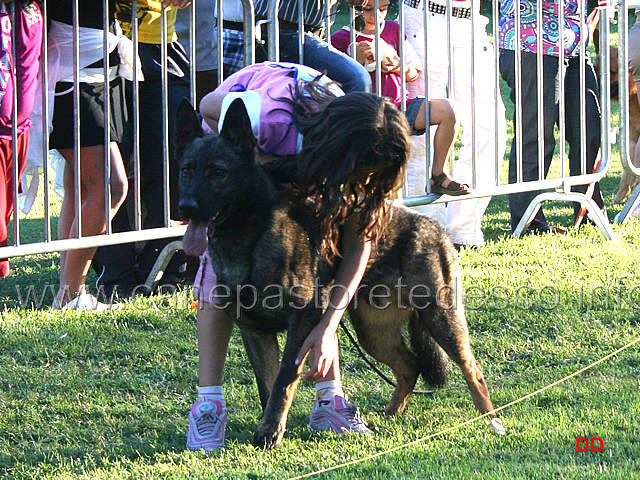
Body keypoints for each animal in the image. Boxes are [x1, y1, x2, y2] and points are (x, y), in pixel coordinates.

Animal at [176, 98, 504, 450]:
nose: (185, 207)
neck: (250, 234)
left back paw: (491, 421)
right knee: (410, 366)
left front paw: (272, 430)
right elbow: (267, 385)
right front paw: (270, 428)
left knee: (472, 369)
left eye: (218, 172)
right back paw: (389, 416)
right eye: (187, 170)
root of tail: (433, 226)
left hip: (440, 320)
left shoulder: (303, 323)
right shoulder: (255, 331)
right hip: (373, 332)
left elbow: (283, 381)